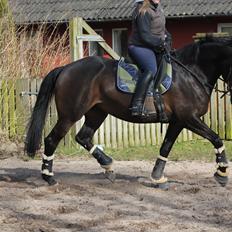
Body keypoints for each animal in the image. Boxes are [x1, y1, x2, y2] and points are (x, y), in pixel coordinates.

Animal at [24, 36, 231, 188]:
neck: (191, 73)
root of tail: (66, 68)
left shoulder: (178, 121)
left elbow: (166, 147)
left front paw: (157, 177)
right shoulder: (189, 118)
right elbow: (216, 138)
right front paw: (221, 173)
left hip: (97, 113)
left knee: (83, 137)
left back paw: (108, 166)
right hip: (70, 114)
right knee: (52, 139)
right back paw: (49, 177)